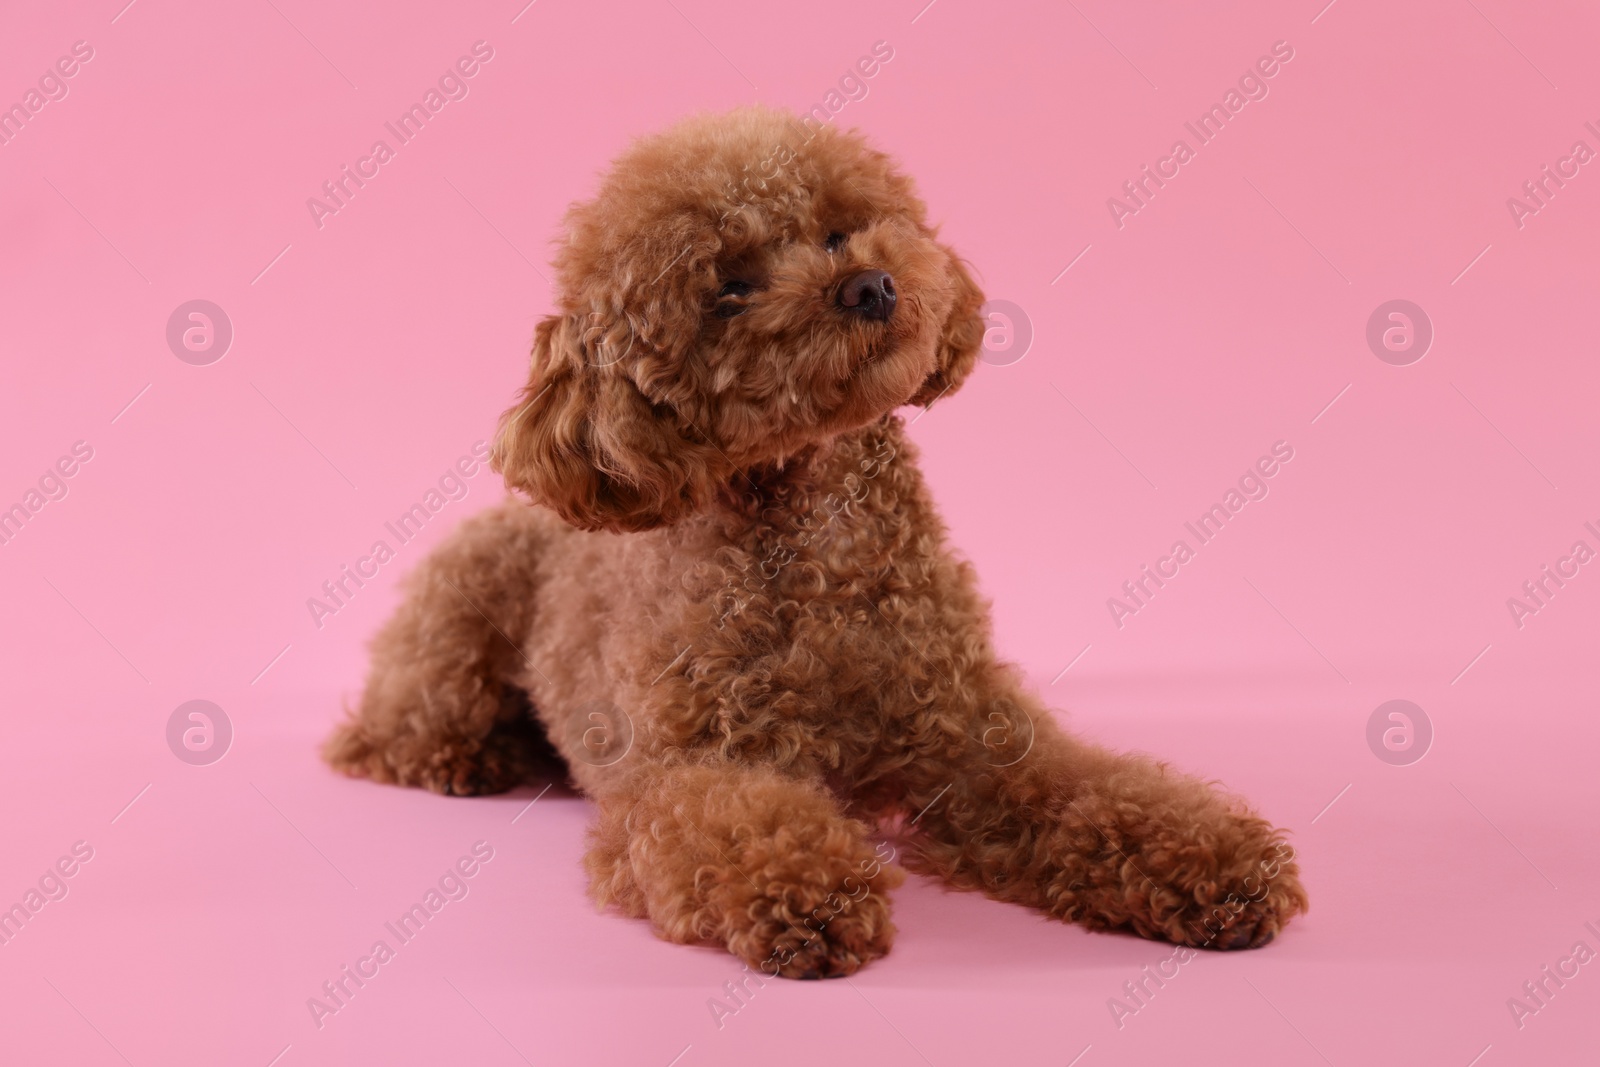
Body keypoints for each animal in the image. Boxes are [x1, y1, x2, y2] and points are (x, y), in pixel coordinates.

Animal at [321, 103, 1299, 979]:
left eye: (838, 231)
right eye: (729, 289)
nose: (868, 285)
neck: (829, 544)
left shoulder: (975, 735)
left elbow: (1092, 787)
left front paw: (1214, 860)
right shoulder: (686, 765)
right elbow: (730, 820)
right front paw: (808, 891)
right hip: (453, 621)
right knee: (391, 729)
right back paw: (467, 755)